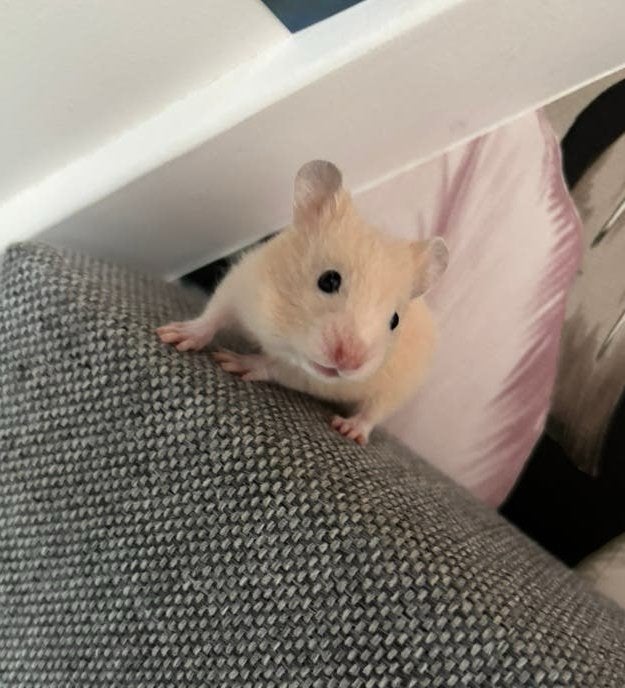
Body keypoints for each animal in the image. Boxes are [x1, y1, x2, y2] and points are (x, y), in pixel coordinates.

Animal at [157, 160, 448, 445]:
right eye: (328, 280)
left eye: (395, 320)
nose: (349, 362)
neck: (284, 330)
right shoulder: (241, 283)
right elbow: (213, 315)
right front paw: (172, 335)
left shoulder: (309, 378)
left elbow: (273, 366)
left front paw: (231, 361)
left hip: (399, 388)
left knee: (374, 412)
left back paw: (350, 429)